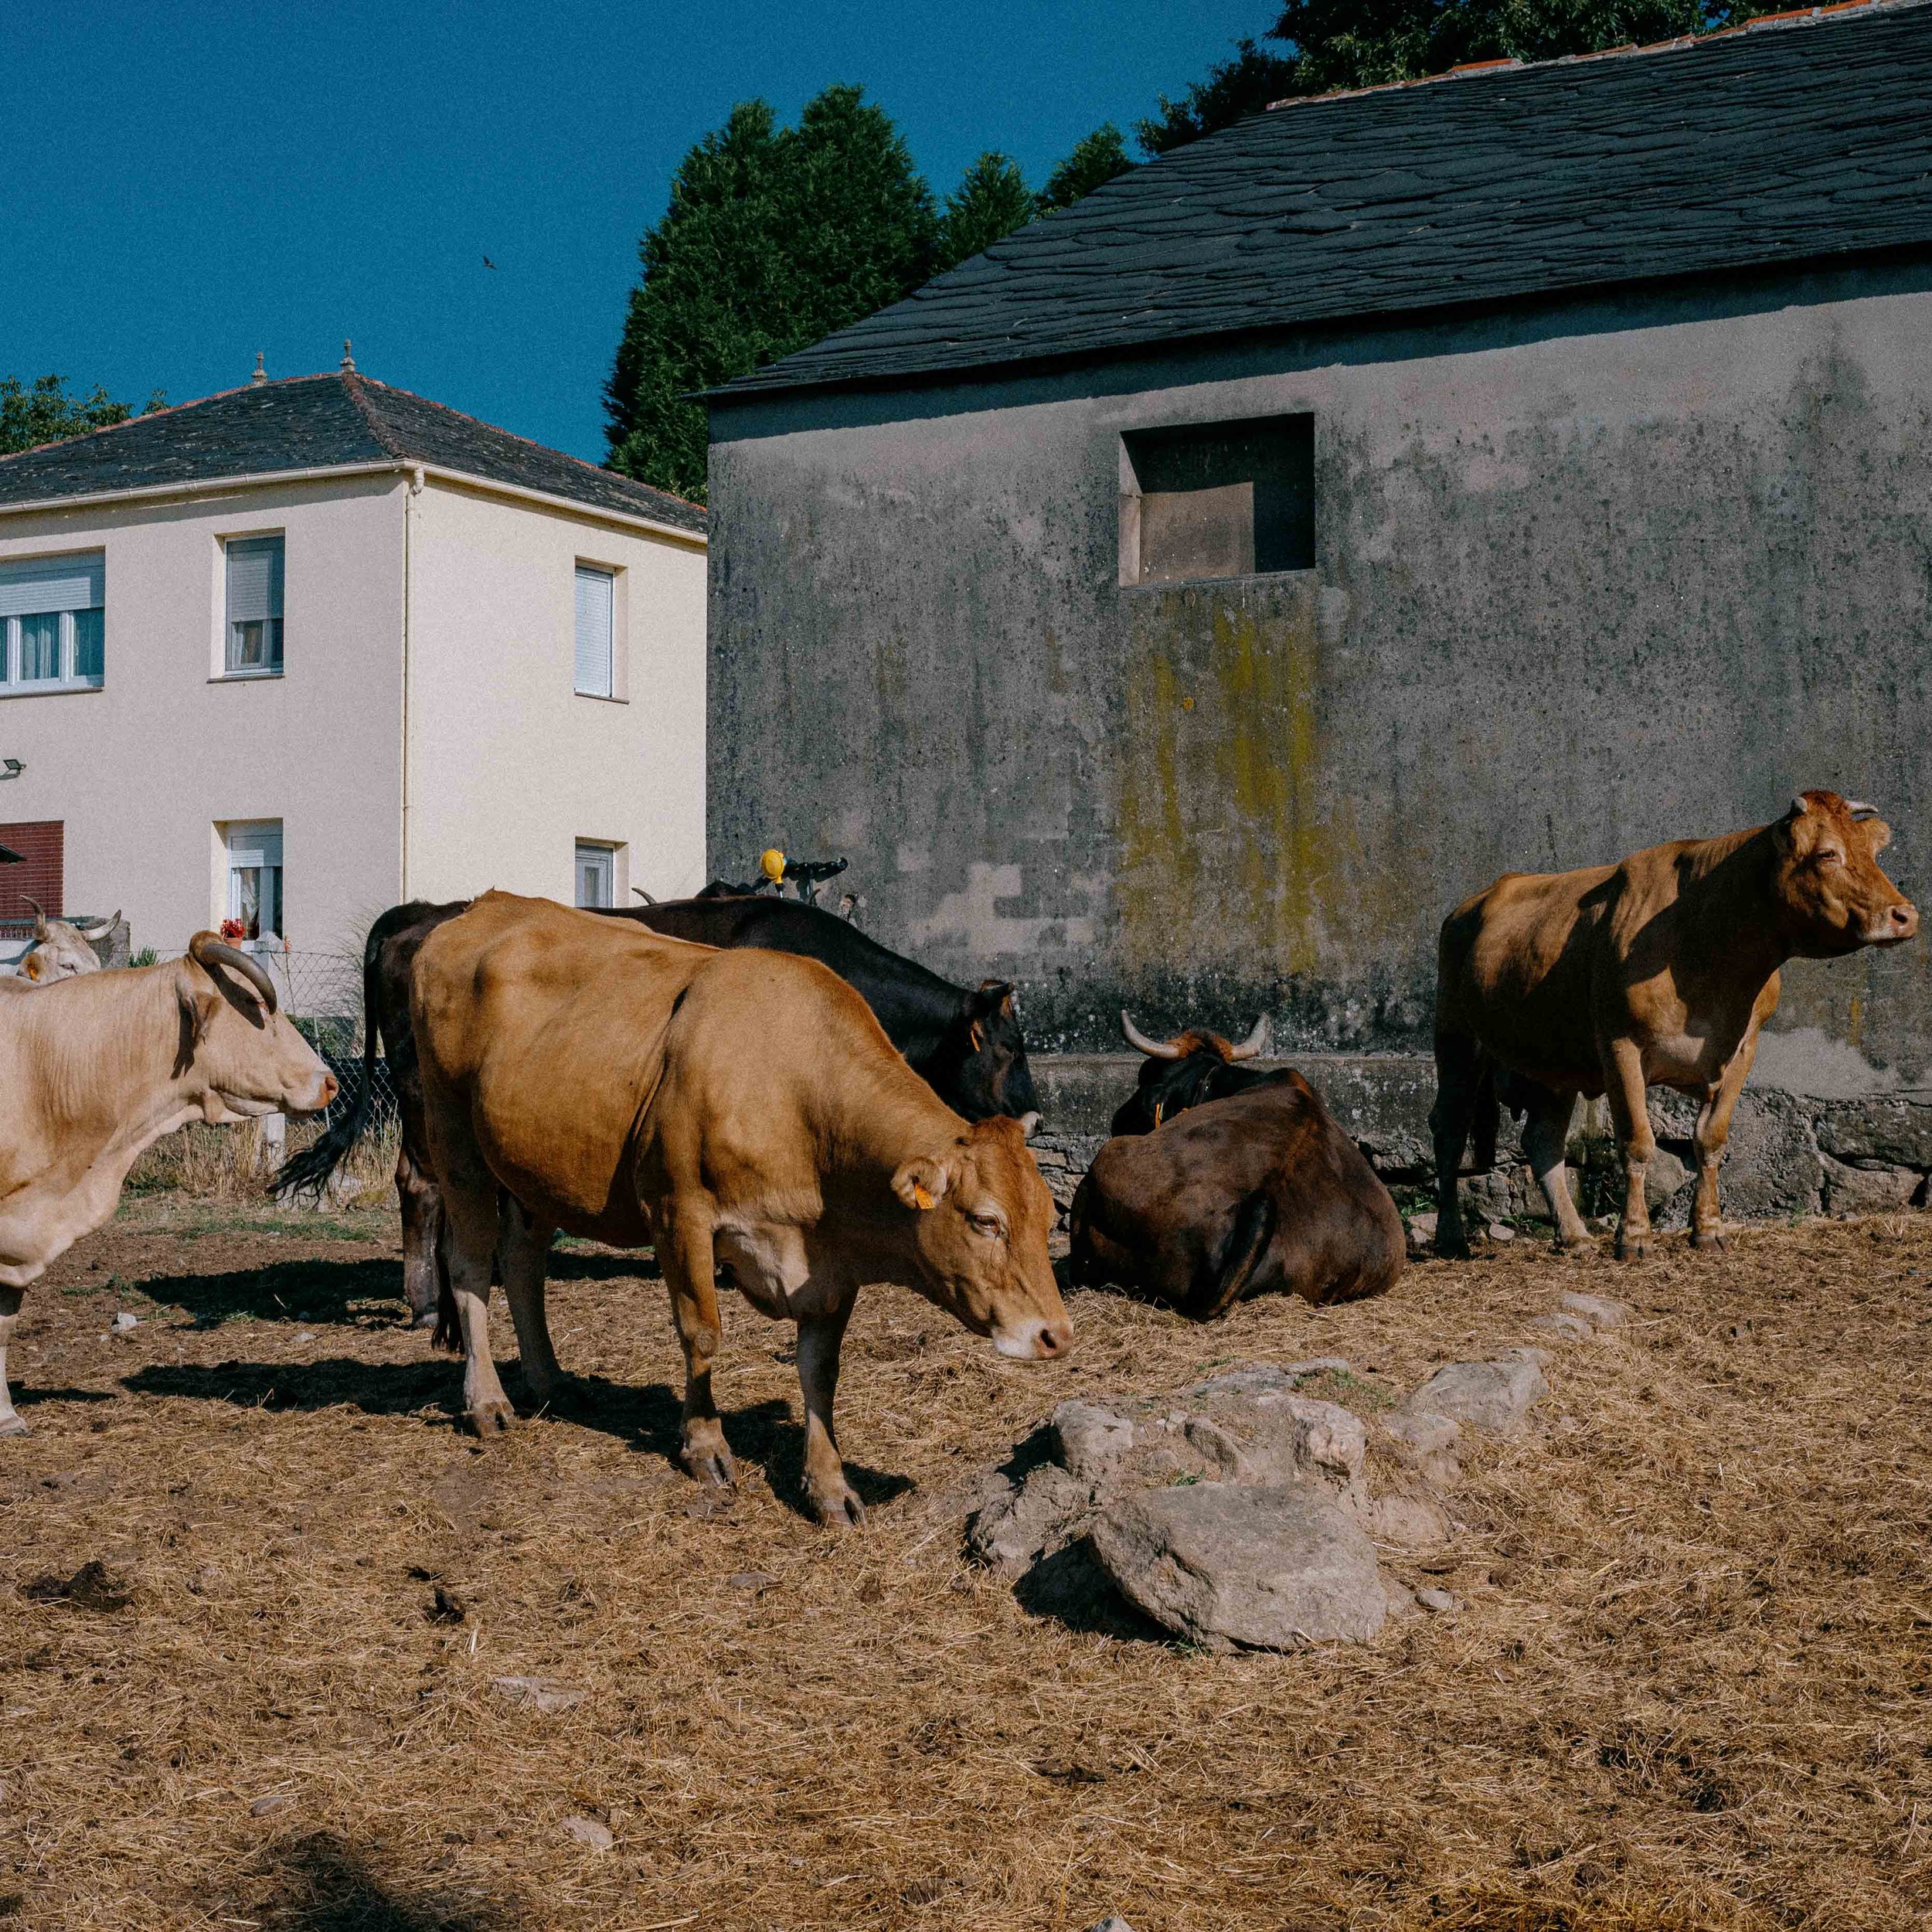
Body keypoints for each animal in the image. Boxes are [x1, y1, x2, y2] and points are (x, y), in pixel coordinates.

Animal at [275, 893, 1042, 1325]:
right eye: (1007, 1049)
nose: (1036, 1114)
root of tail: (418, 915)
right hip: (422, 1100)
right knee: (422, 1184)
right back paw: (427, 1301)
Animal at [409, 892, 1071, 1526]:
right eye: (986, 1220)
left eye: (1046, 1220)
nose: (1056, 1337)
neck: (792, 1096)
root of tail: (487, 905)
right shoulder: (678, 1213)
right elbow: (701, 1334)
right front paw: (705, 1446)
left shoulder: (834, 1258)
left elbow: (820, 1370)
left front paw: (829, 1487)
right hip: (453, 1138)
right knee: (471, 1265)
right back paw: (488, 1401)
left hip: (532, 1165)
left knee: (523, 1261)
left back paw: (549, 1381)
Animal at [1431, 790, 1919, 1261]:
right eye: (1826, 853)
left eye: (1873, 851)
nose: (1905, 915)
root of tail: (1472, 903)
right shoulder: (1620, 1045)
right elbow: (1637, 1142)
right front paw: (1634, 1236)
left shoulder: (1743, 1049)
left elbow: (1711, 1140)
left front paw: (1709, 1230)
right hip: (1456, 1036)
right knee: (1449, 1129)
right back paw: (1451, 1237)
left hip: (1554, 1063)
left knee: (1543, 1141)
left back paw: (1574, 1237)